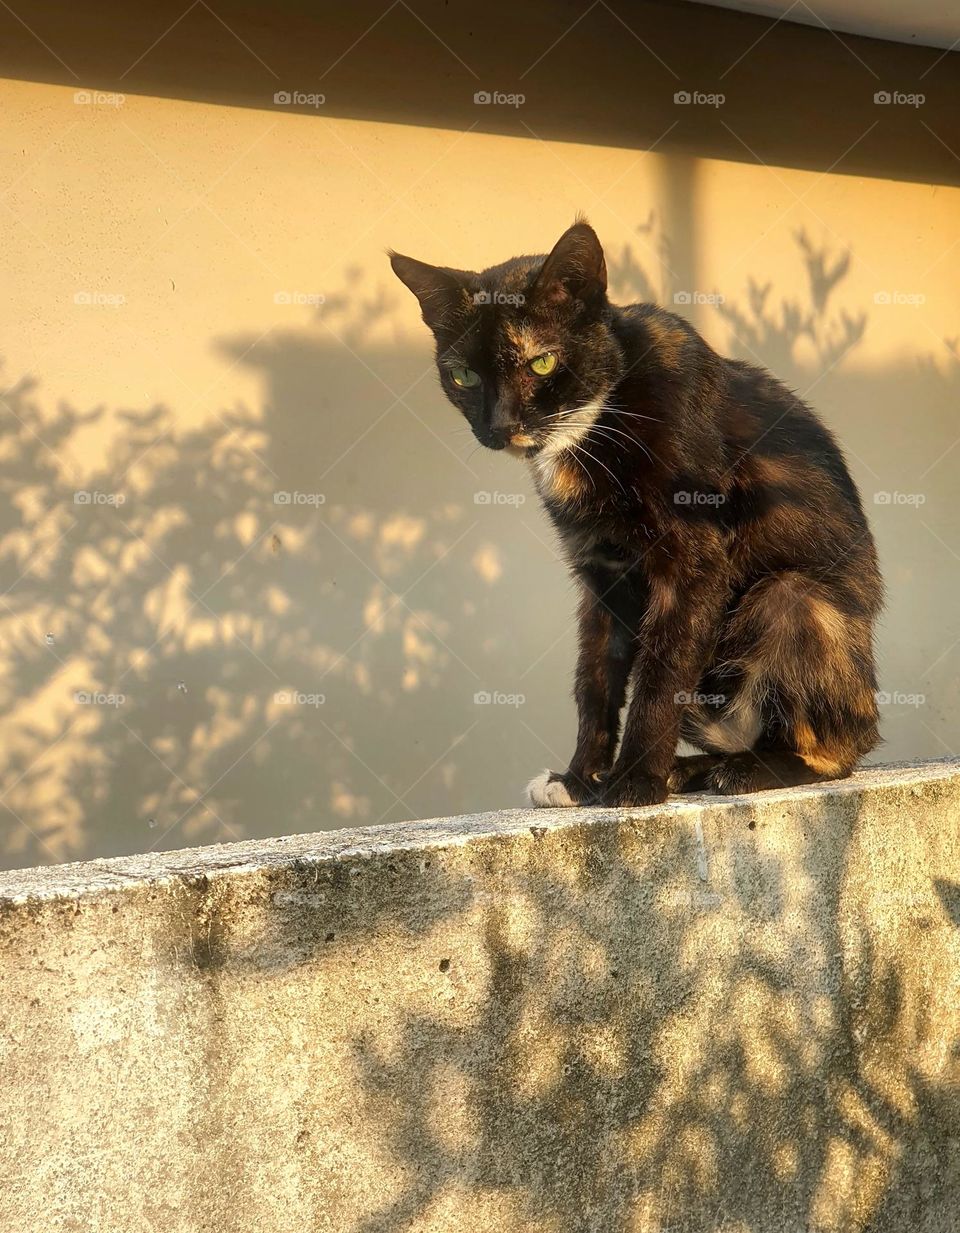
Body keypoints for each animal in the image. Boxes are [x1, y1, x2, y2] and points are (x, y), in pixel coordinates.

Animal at [391, 219, 887, 808]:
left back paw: (743, 771)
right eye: (464, 375)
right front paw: (578, 780)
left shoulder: (694, 563)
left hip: (792, 599)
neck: (601, 418)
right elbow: (594, 680)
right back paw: (691, 770)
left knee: (836, 747)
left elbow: (660, 675)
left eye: (542, 361)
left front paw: (633, 782)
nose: (500, 426)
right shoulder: (602, 572)